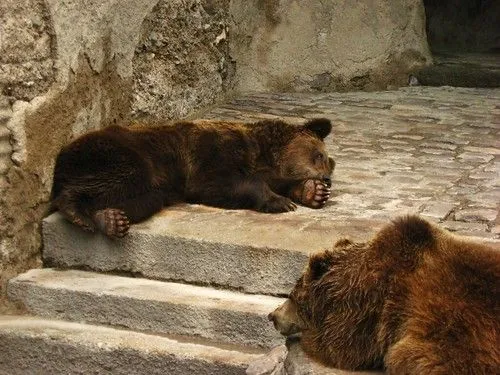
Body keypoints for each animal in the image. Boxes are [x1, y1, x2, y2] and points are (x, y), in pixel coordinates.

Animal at [50, 119, 336, 238]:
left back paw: (110, 219)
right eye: (319, 155)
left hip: (155, 186)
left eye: (328, 162)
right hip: (119, 153)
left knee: (145, 198)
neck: (259, 152)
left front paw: (312, 192)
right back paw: (77, 211)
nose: (327, 179)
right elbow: (215, 183)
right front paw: (280, 202)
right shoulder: (213, 151)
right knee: (122, 178)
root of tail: (61, 154)